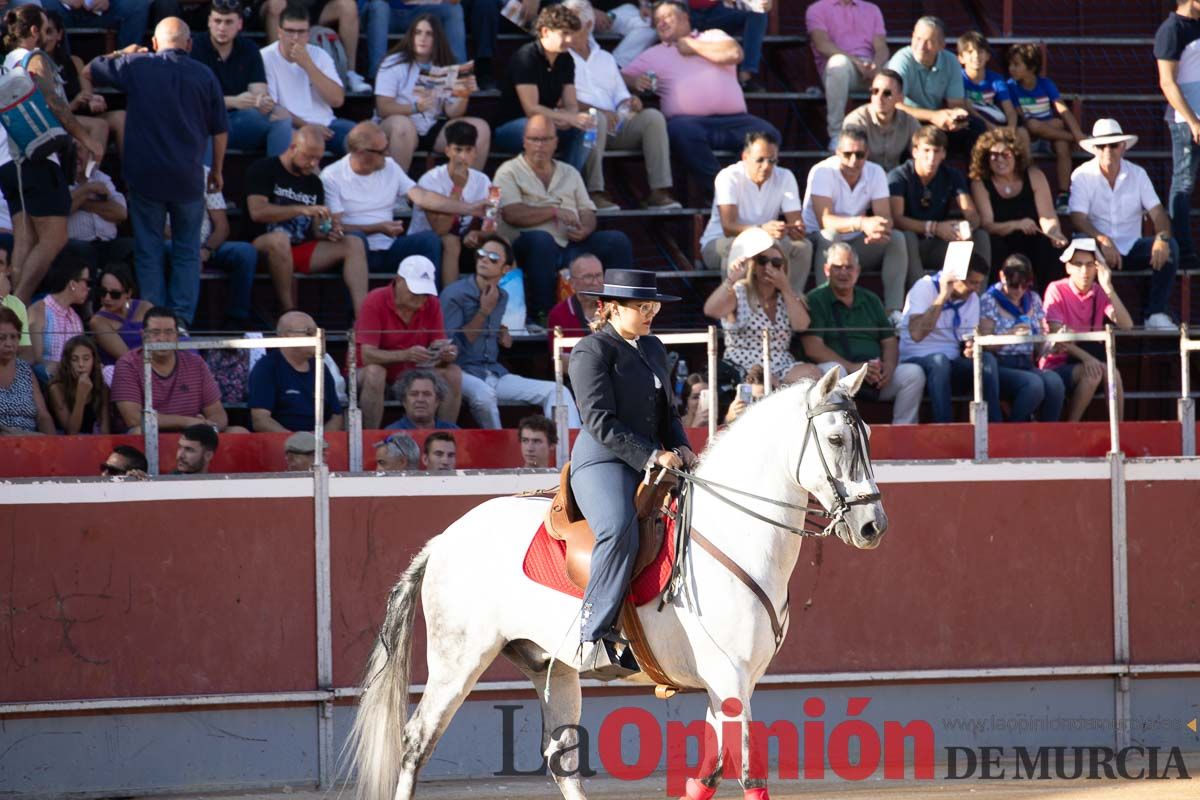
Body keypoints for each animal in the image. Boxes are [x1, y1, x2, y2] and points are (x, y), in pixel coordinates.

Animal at [348, 367, 892, 796]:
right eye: (837, 439)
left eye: (868, 433)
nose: (872, 526)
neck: (733, 535)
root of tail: (444, 538)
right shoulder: (730, 676)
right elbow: (747, 774)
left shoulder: (735, 681)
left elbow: (708, 773)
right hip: (457, 659)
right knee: (417, 742)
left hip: (551, 667)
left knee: (562, 757)